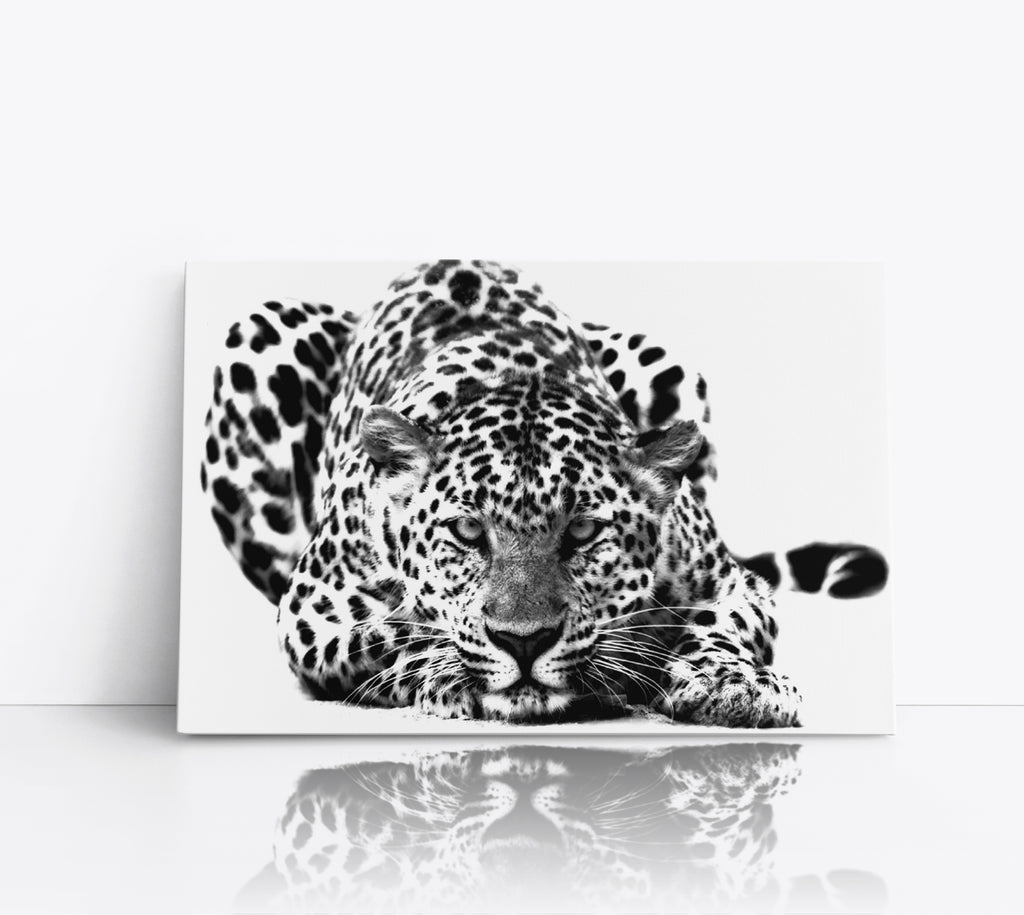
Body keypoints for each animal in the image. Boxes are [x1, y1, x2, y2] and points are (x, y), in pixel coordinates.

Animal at [200, 260, 888, 727]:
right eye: (467, 531)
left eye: (583, 531)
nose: (525, 641)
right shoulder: (312, 611)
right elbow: (392, 634)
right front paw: (450, 674)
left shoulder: (731, 582)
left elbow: (722, 624)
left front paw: (734, 685)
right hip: (256, 340)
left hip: (668, 363)